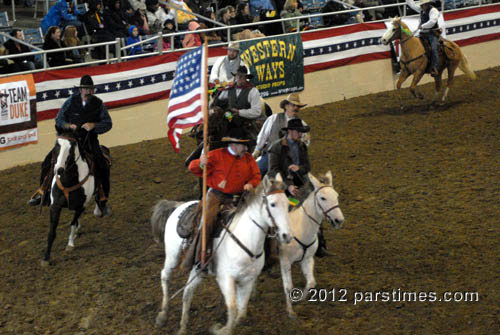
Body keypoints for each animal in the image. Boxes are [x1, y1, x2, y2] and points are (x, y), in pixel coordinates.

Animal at [41, 133, 106, 266]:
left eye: (71, 149)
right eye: (56, 145)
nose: (59, 169)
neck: (69, 180)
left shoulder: (81, 206)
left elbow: (72, 223)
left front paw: (70, 244)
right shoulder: (55, 206)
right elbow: (52, 231)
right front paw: (46, 258)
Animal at [152, 175, 292, 335]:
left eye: (288, 205)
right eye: (273, 204)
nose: (286, 236)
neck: (245, 240)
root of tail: (179, 206)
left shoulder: (247, 281)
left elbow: (241, 313)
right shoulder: (226, 279)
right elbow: (232, 310)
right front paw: (219, 329)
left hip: (198, 270)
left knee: (187, 293)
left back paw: (182, 327)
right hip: (173, 256)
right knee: (165, 276)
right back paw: (163, 315)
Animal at [278, 172, 344, 318]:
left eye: (336, 196)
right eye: (322, 198)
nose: (339, 220)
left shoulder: (307, 259)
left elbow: (311, 282)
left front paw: (299, 300)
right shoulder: (285, 261)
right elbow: (288, 287)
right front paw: (290, 311)